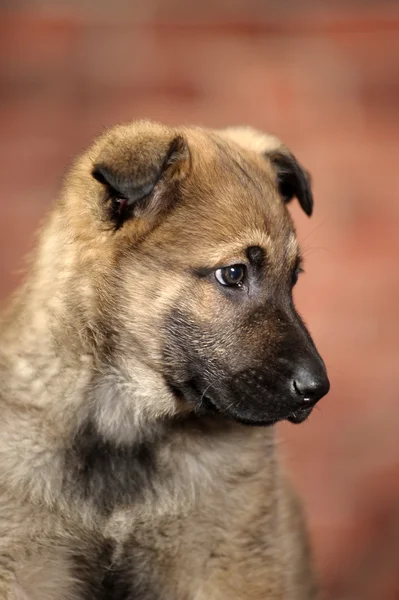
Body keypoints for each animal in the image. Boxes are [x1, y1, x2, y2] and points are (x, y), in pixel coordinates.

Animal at [0, 119, 332, 596]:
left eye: (293, 279)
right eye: (233, 273)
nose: (317, 390)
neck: (123, 425)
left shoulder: (225, 560)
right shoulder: (26, 565)